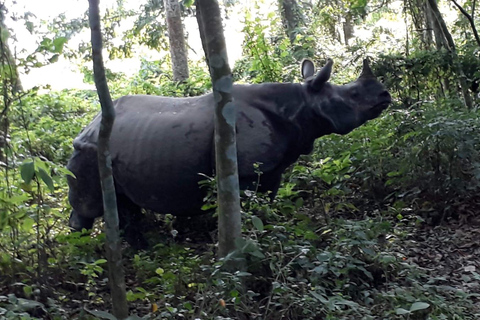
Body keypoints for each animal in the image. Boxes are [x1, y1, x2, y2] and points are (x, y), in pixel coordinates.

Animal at [66, 57, 390, 238]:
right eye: (353, 94)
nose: (385, 95)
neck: (301, 103)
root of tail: (89, 125)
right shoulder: (244, 171)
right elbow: (246, 209)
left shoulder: (271, 170)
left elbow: (265, 204)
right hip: (87, 152)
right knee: (88, 206)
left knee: (124, 206)